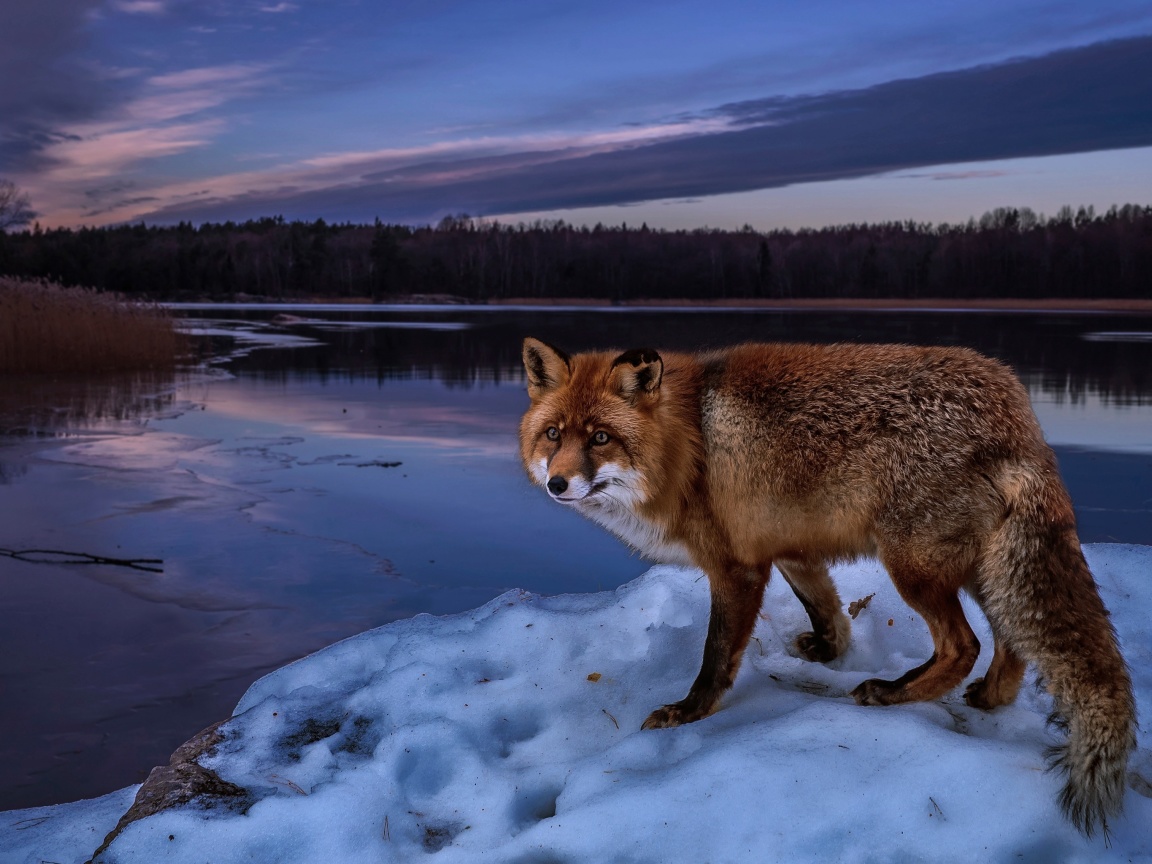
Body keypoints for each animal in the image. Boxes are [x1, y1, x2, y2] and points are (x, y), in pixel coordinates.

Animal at [520, 336, 1133, 838]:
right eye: (553, 434)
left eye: (601, 438)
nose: (557, 484)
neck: (688, 445)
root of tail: (1015, 408)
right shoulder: (790, 549)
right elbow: (828, 610)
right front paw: (827, 650)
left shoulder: (736, 568)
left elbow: (715, 657)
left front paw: (689, 712)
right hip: (981, 567)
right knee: (1012, 641)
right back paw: (988, 697)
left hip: (913, 568)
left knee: (965, 645)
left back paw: (892, 694)